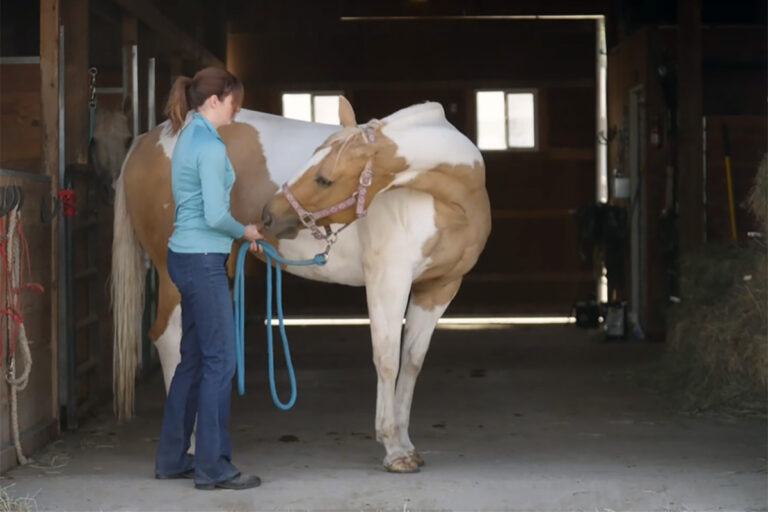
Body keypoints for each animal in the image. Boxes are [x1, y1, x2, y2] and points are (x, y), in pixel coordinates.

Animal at [111, 96, 488, 472]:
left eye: (323, 179)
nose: (269, 216)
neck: (447, 200)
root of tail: (146, 141)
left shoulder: (439, 288)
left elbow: (411, 362)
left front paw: (407, 445)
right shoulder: (389, 279)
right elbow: (387, 359)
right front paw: (393, 450)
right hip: (172, 275)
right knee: (168, 340)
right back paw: (189, 448)